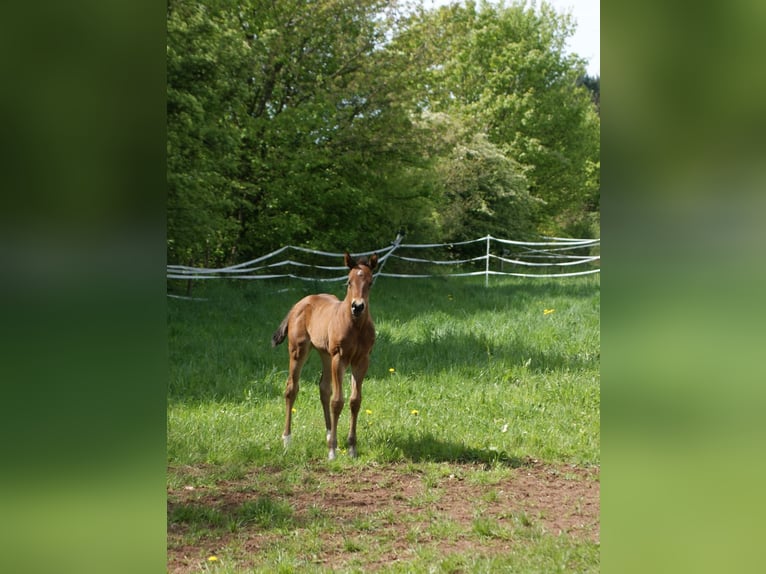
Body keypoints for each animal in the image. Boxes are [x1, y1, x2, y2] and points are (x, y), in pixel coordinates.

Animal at [271, 252, 378, 460]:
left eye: (370, 283)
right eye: (349, 282)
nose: (358, 307)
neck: (356, 326)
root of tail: (299, 303)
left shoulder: (362, 360)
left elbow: (355, 401)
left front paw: (352, 448)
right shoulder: (340, 358)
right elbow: (338, 402)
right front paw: (332, 451)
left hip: (325, 354)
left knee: (324, 388)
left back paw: (329, 433)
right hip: (299, 350)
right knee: (291, 388)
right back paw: (287, 439)